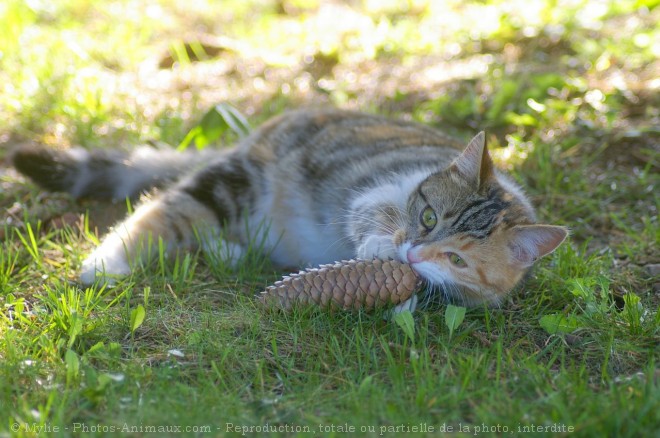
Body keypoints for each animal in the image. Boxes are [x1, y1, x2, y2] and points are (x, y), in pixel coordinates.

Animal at [11, 109, 568, 312]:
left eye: (457, 259)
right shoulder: (380, 191)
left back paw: (230, 253)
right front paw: (381, 248)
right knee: (165, 211)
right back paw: (106, 263)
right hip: (234, 181)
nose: (412, 255)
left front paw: (403, 300)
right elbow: (372, 216)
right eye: (429, 217)